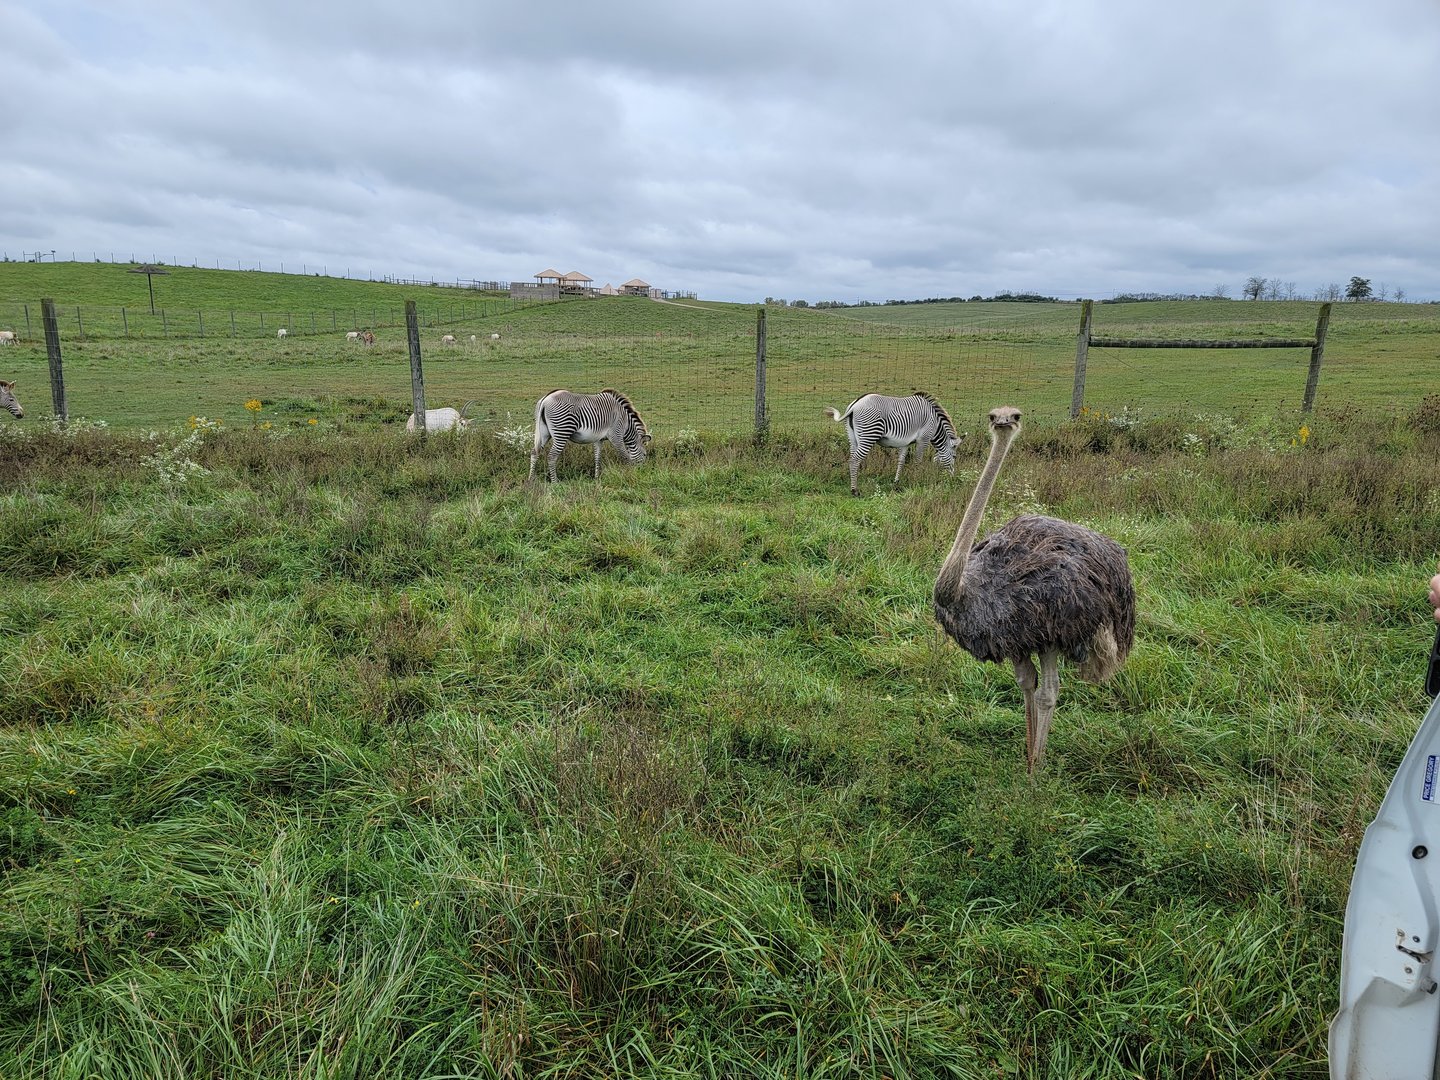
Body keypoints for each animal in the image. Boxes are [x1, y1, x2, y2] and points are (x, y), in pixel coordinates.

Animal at [824, 391, 962, 495]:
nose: (952, 479)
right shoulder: (924, 439)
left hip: (852, 437)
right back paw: (854, 490)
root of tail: (856, 404)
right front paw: (916, 480)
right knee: (854, 460)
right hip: (869, 434)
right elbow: (918, 461)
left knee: (852, 457)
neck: (936, 424)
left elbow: (901, 461)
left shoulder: (905, 443)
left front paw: (896, 482)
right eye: (954, 456)